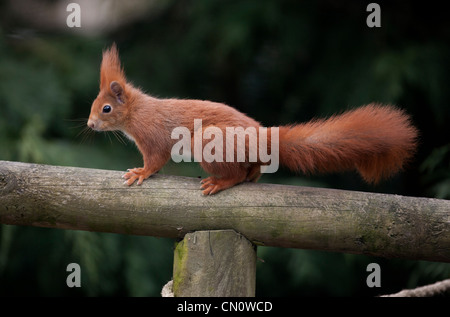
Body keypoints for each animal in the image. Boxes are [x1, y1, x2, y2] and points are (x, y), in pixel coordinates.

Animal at [88, 43, 418, 194]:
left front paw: (140, 172)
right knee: (251, 170)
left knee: (234, 174)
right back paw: (250, 174)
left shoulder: (153, 135)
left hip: (210, 141)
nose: (90, 124)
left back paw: (219, 182)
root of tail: (263, 137)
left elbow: (156, 159)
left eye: (106, 109)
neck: (136, 112)